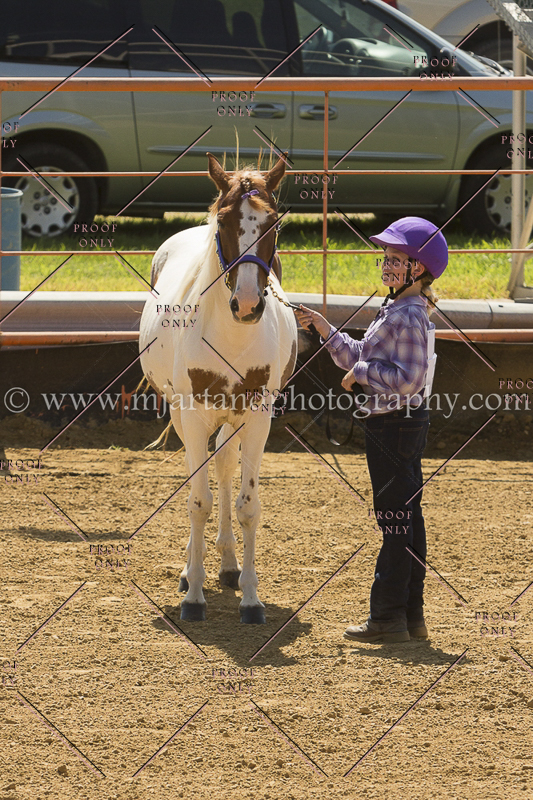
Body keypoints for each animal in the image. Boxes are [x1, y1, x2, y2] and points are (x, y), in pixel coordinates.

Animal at [139, 152, 298, 623]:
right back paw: (193, 571)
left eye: (273, 224)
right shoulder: (192, 416)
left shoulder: (258, 418)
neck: (230, 337)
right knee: (201, 476)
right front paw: (193, 595)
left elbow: (246, 505)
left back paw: (228, 566)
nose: (246, 304)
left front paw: (251, 597)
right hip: (182, 413)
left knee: (225, 466)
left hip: (232, 419)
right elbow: (198, 501)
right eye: (224, 221)